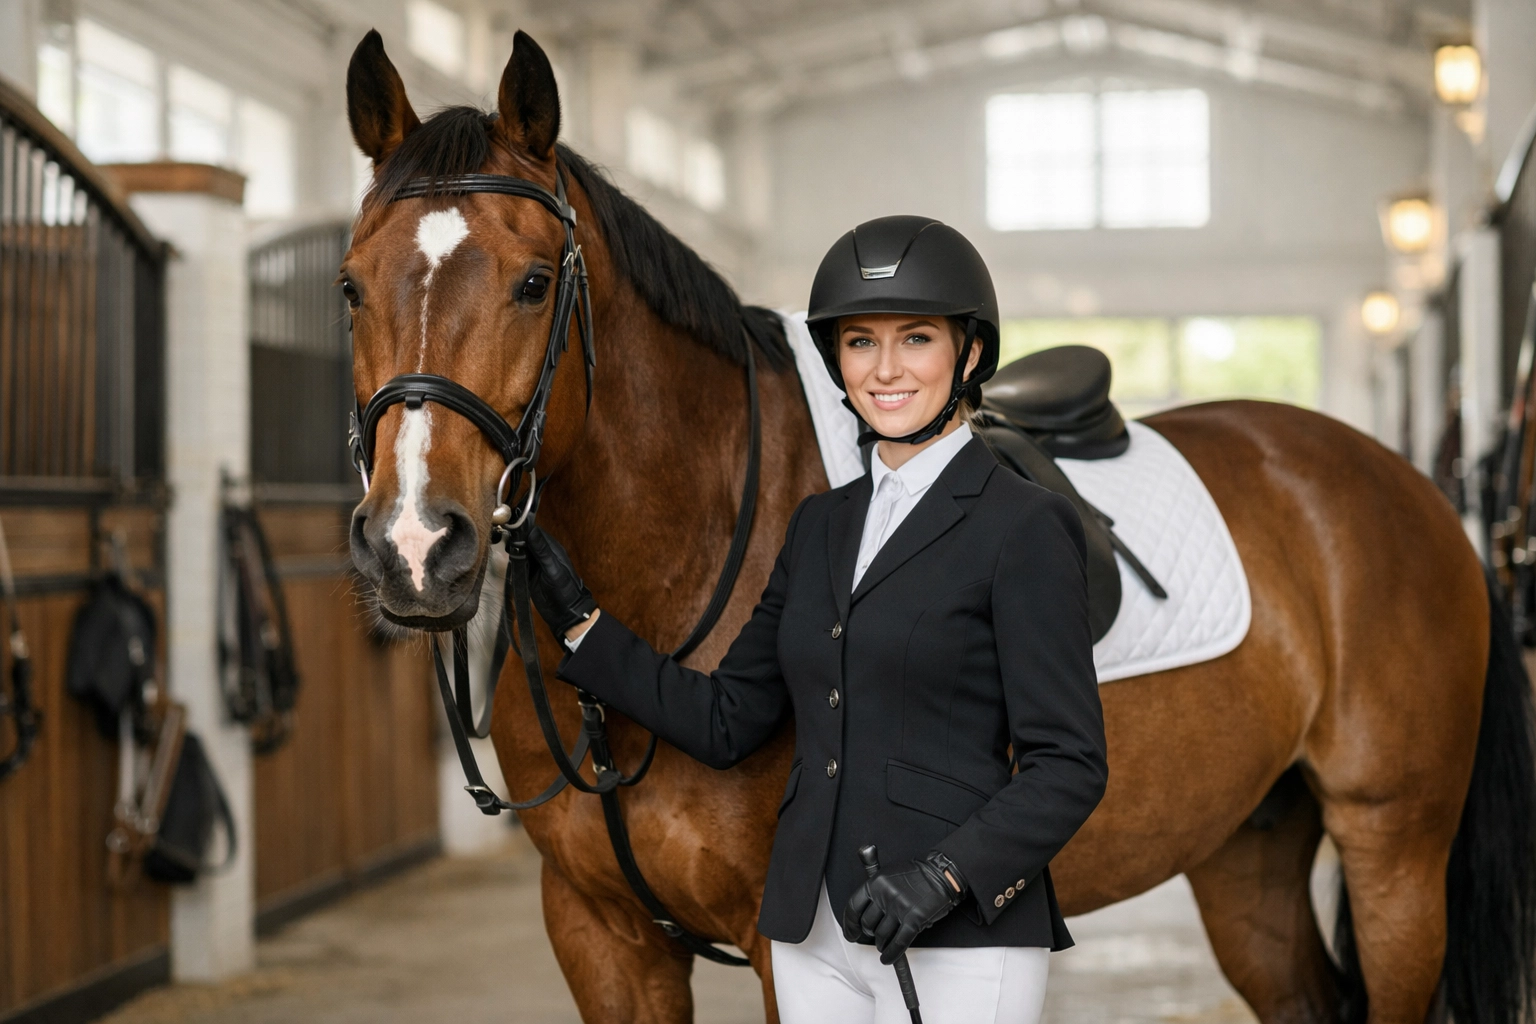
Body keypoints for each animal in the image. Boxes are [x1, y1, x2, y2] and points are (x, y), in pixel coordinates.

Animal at [340, 29, 1536, 1024]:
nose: (415, 546)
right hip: (1250, 846)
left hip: (1393, 851)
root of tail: (1402, 484)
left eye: (537, 282)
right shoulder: (602, 939)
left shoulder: (784, 946)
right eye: (350, 287)